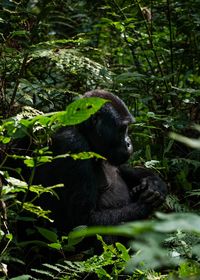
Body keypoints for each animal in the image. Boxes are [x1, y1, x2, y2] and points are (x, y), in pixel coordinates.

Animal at [30, 89, 167, 232]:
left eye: (127, 128)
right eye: (122, 129)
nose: (128, 143)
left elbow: (123, 168)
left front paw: (154, 183)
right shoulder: (73, 144)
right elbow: (85, 220)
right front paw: (146, 203)